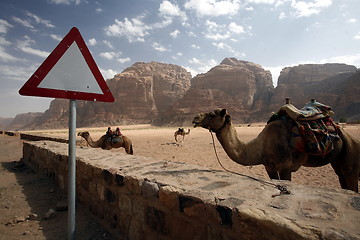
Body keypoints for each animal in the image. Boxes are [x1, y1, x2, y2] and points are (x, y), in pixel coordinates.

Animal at [193, 108, 358, 191]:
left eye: (212, 114)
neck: (262, 146)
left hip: (350, 153)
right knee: (342, 177)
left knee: (351, 178)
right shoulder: (269, 168)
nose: (195, 118)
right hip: (337, 161)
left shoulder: (285, 167)